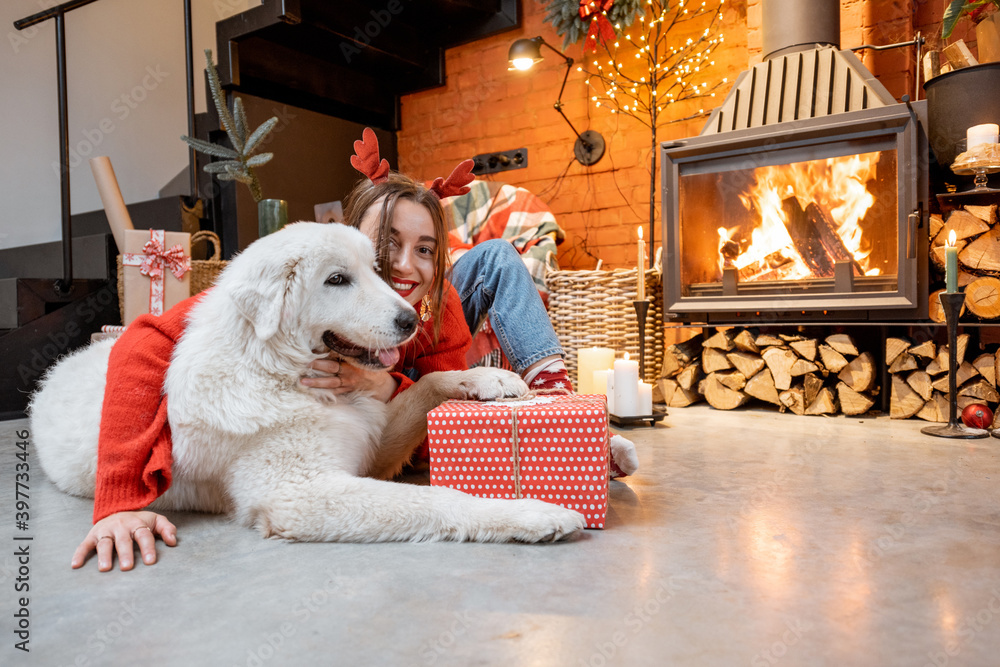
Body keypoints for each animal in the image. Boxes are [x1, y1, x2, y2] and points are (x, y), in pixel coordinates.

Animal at [29, 222, 584, 544]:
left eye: (374, 270)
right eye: (336, 280)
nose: (410, 320)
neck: (278, 369)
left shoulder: (371, 438)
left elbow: (429, 382)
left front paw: (488, 377)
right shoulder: (300, 493)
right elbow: (439, 499)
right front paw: (533, 514)